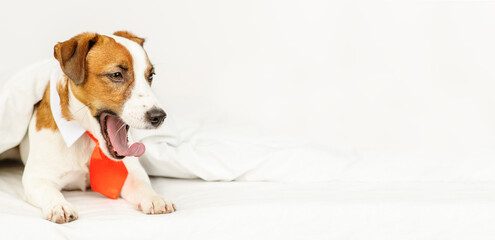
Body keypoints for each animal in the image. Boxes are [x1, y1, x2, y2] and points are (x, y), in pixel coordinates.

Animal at [17, 31, 176, 223]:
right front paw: (58, 205)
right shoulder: (37, 177)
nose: (159, 116)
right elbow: (49, 192)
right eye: (116, 75)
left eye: (151, 75)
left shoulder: (131, 173)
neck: (88, 137)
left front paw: (154, 197)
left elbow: (142, 185)